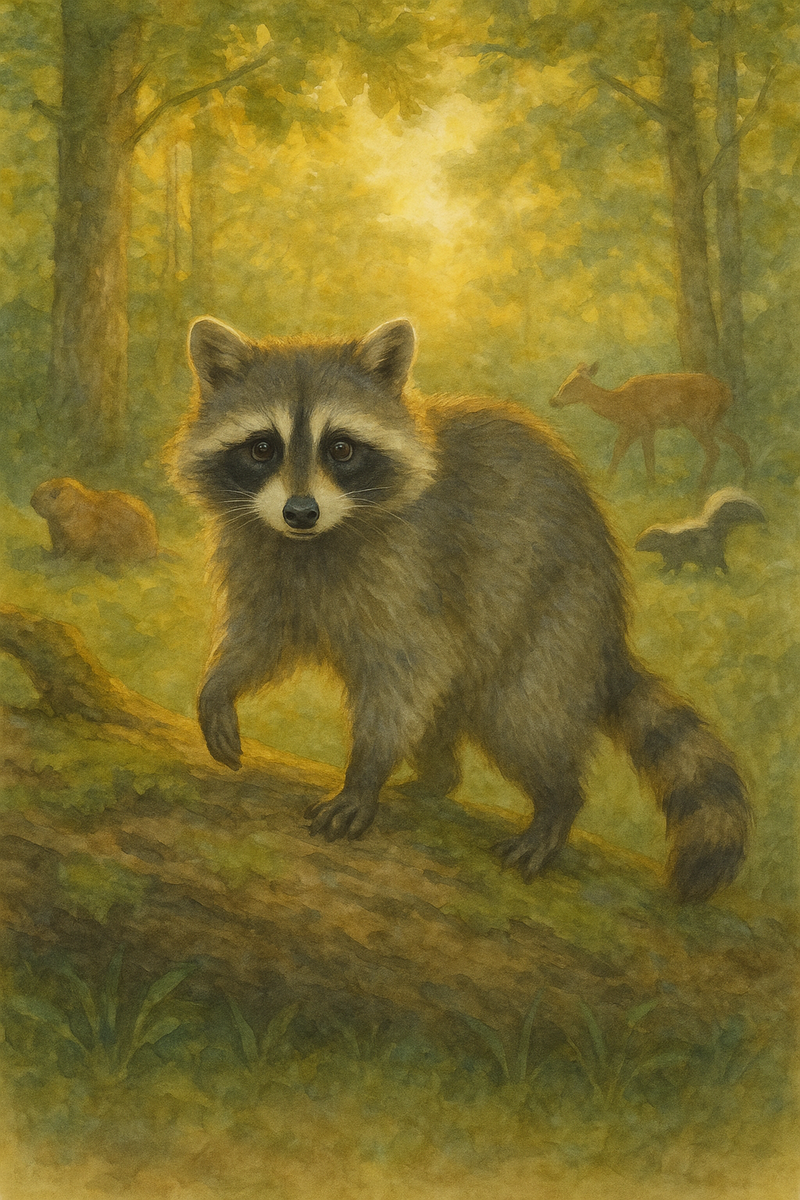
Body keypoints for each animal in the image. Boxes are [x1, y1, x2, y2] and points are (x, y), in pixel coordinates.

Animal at [172, 316, 751, 902]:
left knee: (525, 714)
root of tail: (608, 631)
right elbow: (259, 636)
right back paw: (437, 776)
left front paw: (364, 772)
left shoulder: (411, 569)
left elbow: (408, 669)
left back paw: (557, 801)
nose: (300, 512)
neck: (310, 543)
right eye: (261, 448)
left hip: (557, 616)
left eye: (341, 449)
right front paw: (219, 684)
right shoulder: (259, 559)